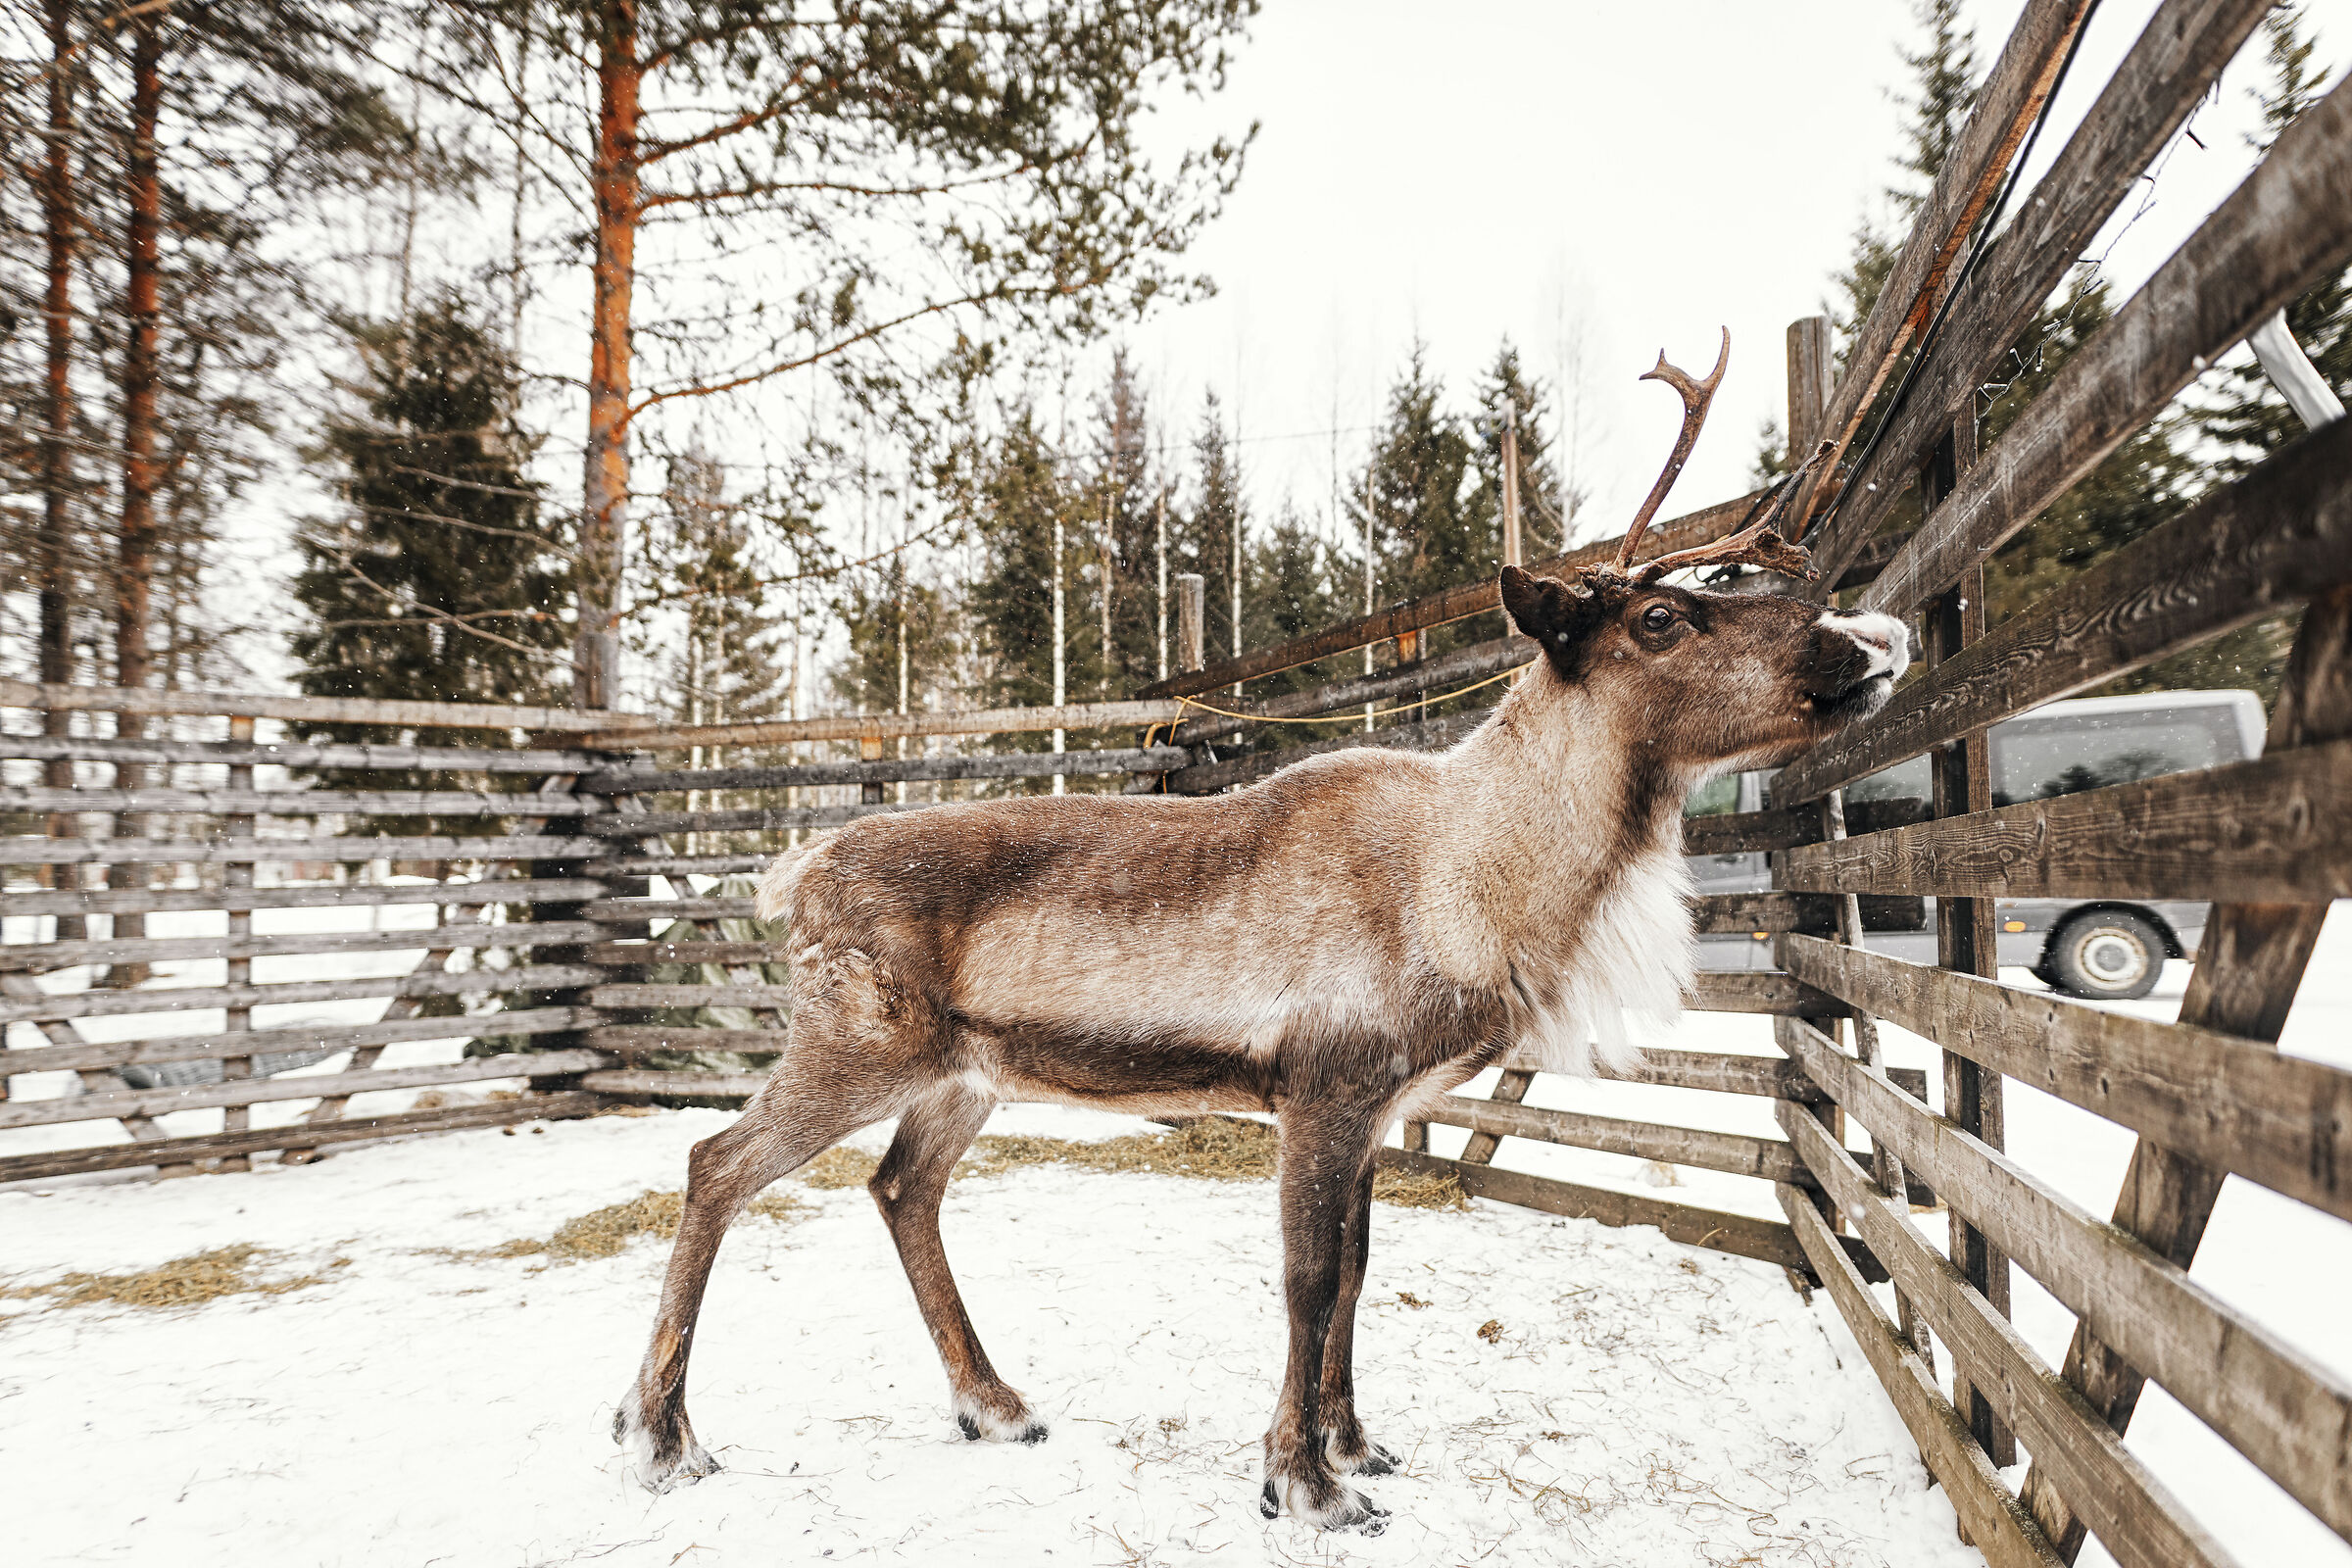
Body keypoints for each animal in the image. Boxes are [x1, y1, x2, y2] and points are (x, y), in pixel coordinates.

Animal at [611, 329, 1910, 1532]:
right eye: (1659, 615)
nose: (1872, 641)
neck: (1476, 883)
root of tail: (794, 872)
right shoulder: (1324, 1081)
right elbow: (1306, 1276)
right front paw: (1302, 1480)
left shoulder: (1381, 1103)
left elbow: (1361, 1271)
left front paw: (1356, 1444)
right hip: (856, 1040)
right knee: (717, 1163)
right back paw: (662, 1434)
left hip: (964, 1070)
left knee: (899, 1189)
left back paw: (995, 1403)